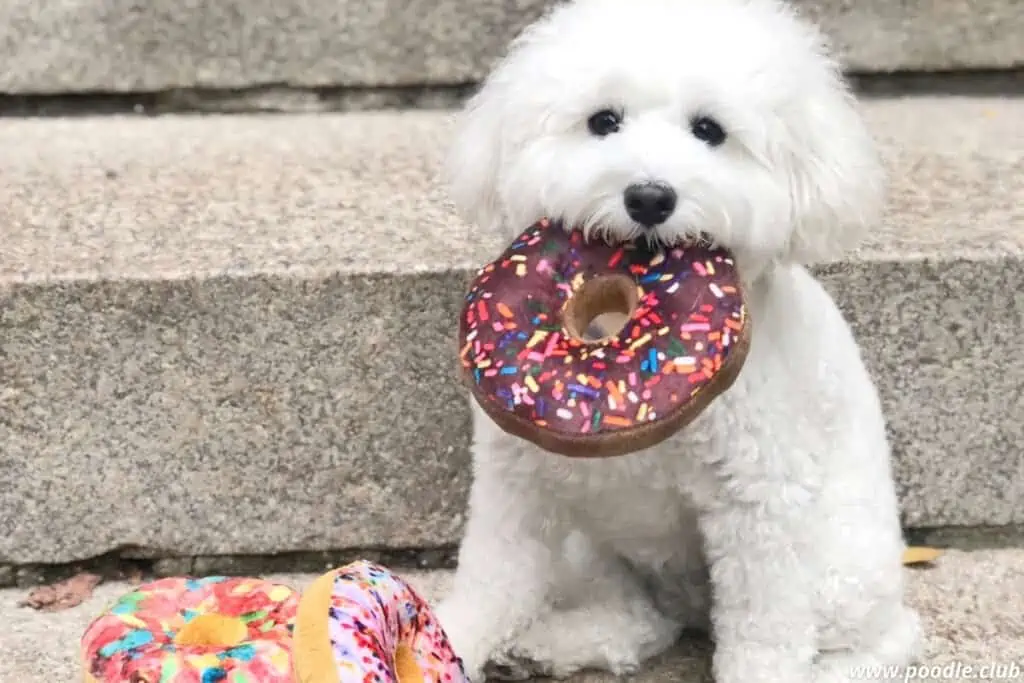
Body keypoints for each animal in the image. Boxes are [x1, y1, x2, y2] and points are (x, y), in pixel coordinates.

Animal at [436, 1, 925, 683]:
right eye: (603, 121)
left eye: (709, 130)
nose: (649, 196)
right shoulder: (518, 483)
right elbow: (489, 582)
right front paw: (434, 641)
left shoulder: (760, 503)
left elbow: (765, 634)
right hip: (590, 548)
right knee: (637, 618)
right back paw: (557, 643)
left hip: (840, 570)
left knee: (881, 639)